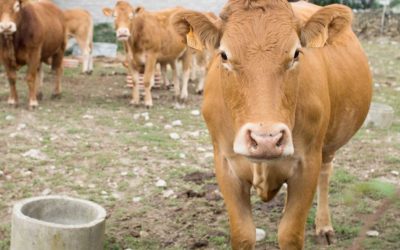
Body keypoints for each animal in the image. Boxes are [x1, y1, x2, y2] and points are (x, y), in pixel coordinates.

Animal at [173, 0, 374, 249]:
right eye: (224, 55)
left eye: (296, 53)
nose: (265, 140)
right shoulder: (225, 164)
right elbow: (243, 234)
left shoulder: (307, 164)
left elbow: (290, 234)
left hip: (328, 145)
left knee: (326, 173)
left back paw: (324, 227)